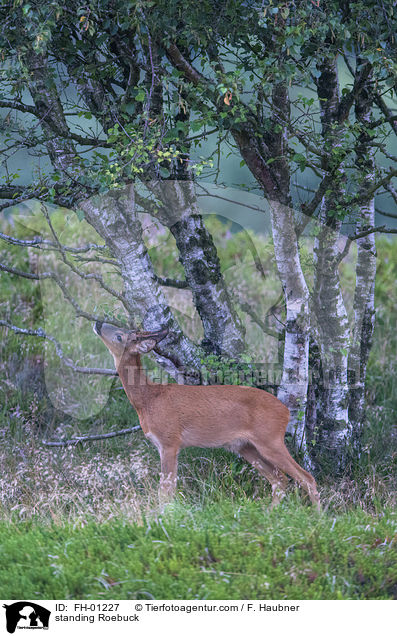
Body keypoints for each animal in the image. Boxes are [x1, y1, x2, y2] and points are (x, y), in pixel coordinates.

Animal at [94, 320, 320, 510]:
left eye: (120, 336)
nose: (98, 323)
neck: (149, 400)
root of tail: (286, 411)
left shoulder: (170, 442)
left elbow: (165, 491)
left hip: (270, 440)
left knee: (306, 477)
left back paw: (318, 517)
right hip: (246, 447)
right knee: (280, 480)